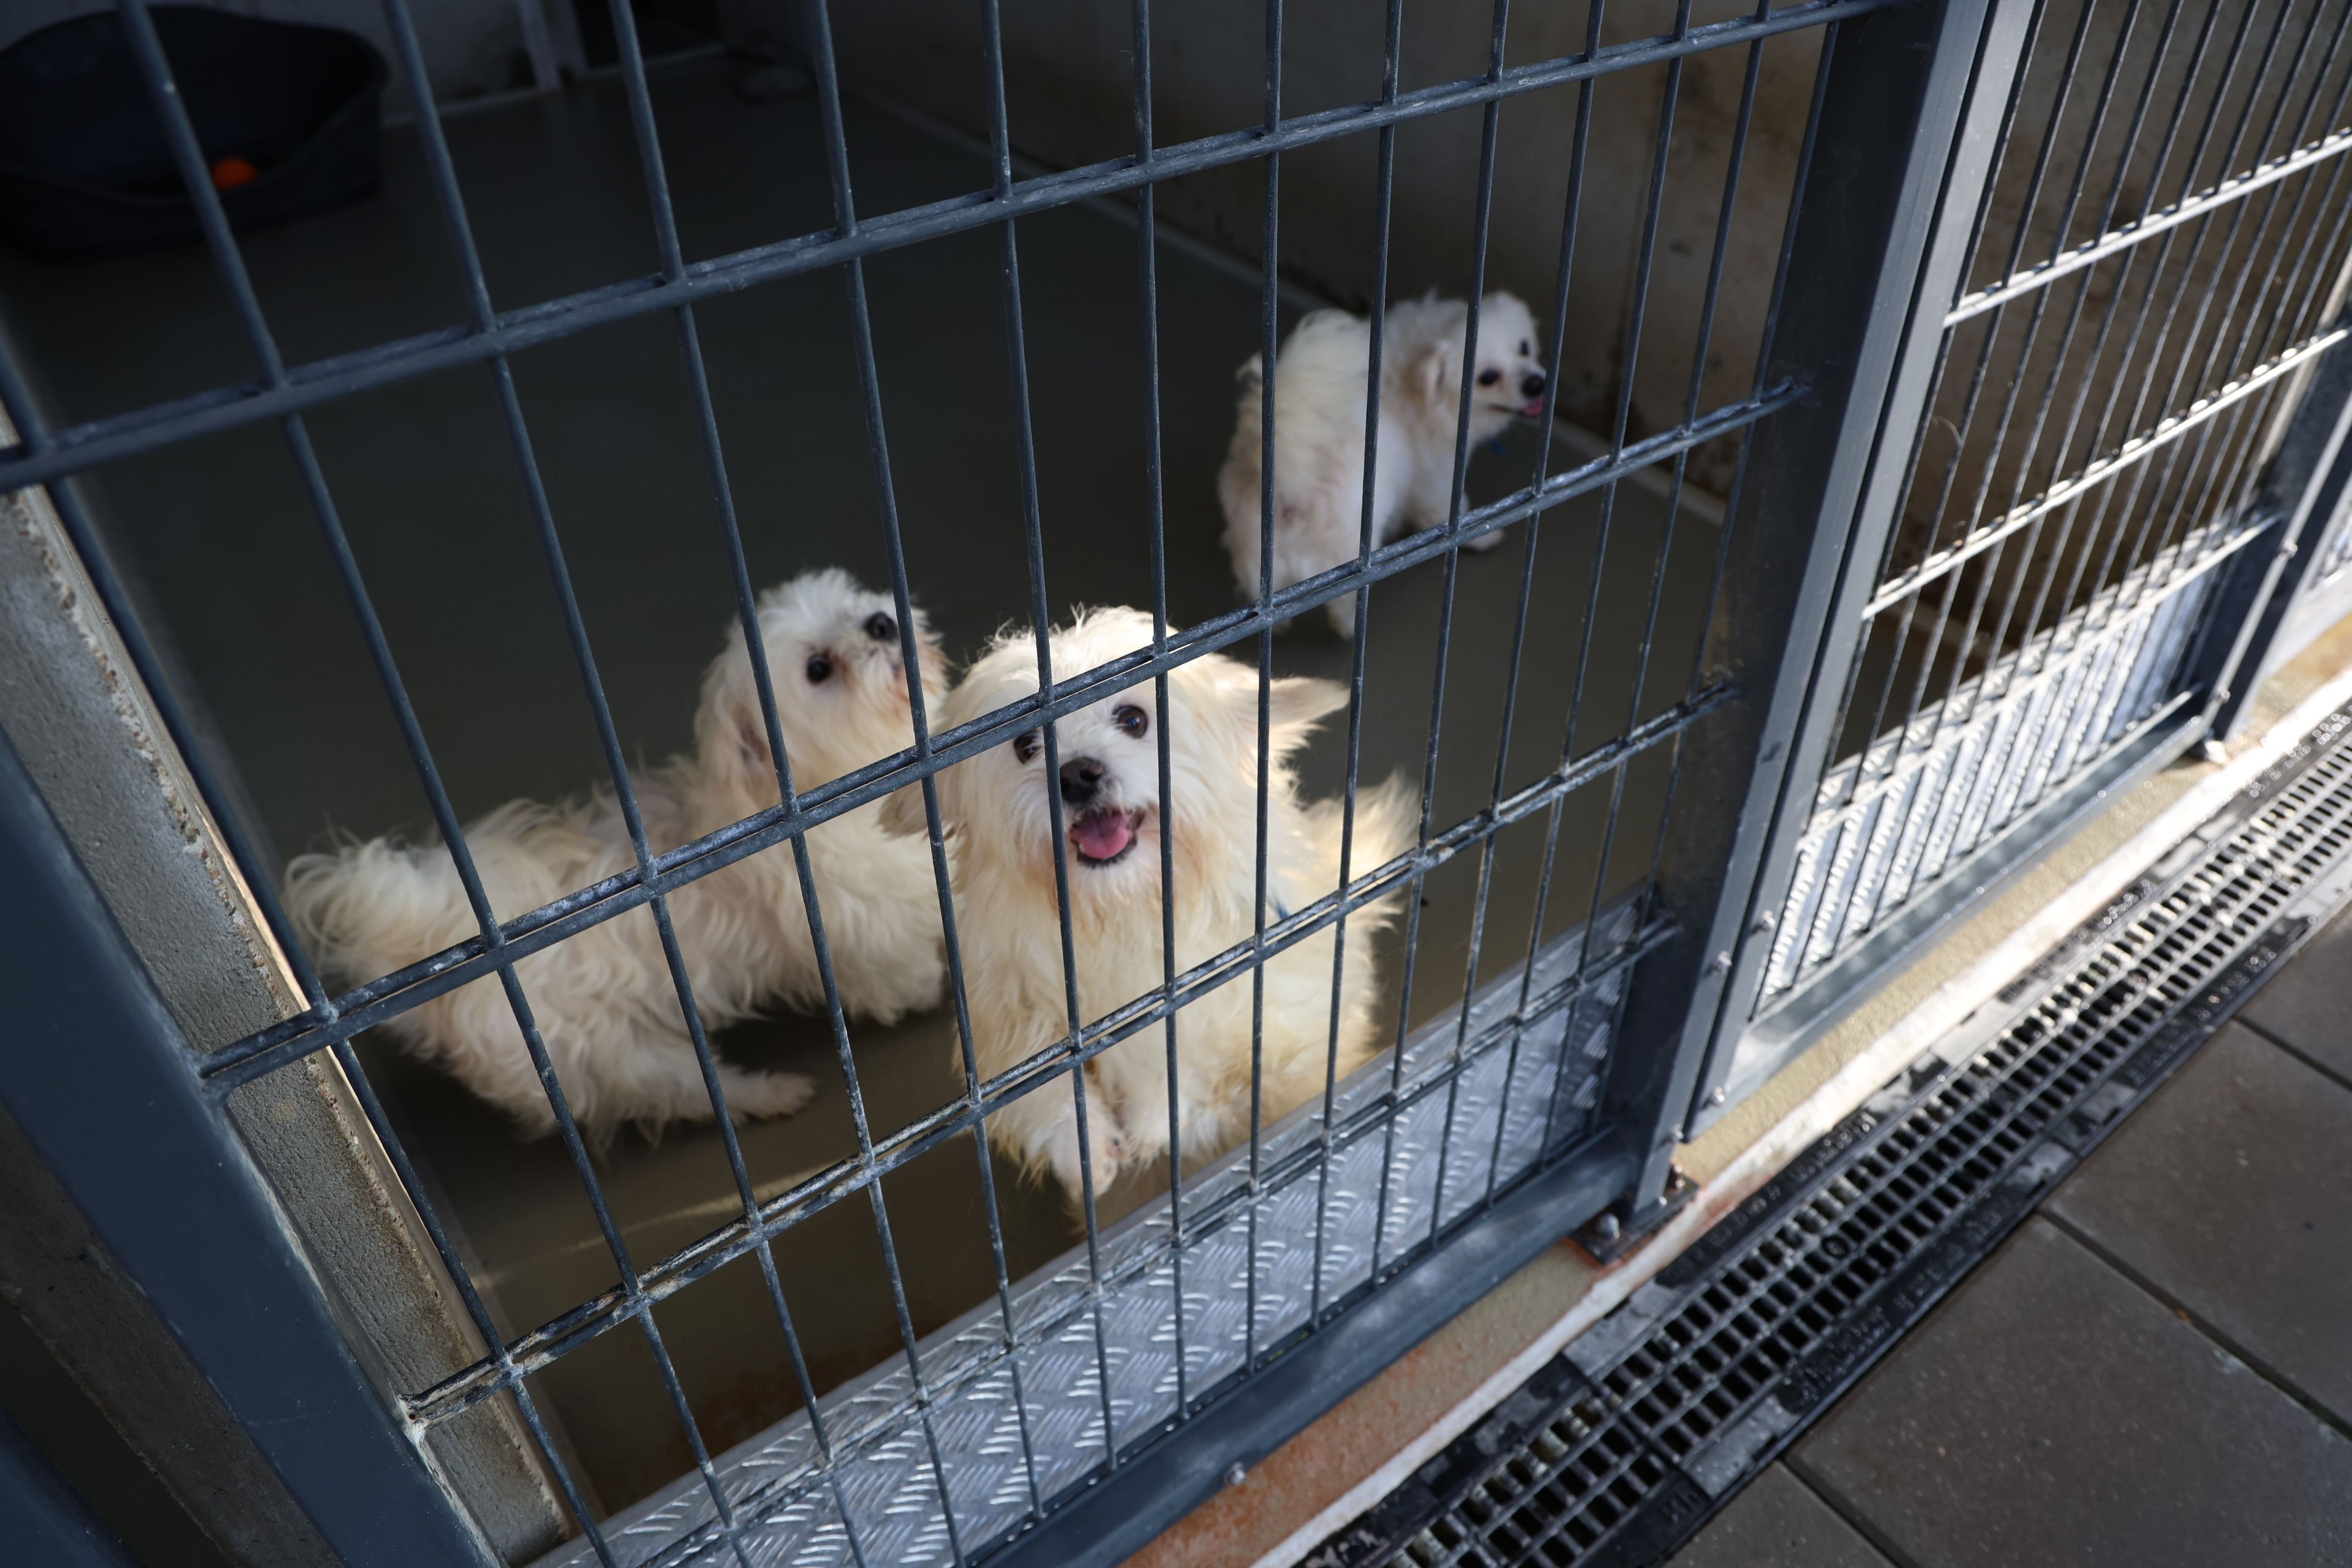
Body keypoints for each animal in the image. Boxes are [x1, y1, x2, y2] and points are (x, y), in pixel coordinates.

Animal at [287, 569, 951, 1142]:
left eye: (850, 597)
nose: (879, 622)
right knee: (690, 1092)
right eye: (819, 669)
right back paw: (769, 1093)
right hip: (617, 1053)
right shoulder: (867, 937)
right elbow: (906, 978)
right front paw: (940, 986)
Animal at [891, 606, 1416, 1204]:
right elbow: (1035, 1084)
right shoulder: (1009, 1002)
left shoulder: (1261, 1014)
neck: (1124, 910)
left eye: (1134, 720)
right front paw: (1083, 1149)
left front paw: (1152, 1115)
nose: (1076, 775)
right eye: (1024, 745)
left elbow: (1182, 1053)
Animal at [1219, 290, 1550, 637]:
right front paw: (1483, 535)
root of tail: (1291, 480)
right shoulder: (1433, 480)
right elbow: (1454, 513)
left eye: (1524, 347)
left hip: (1257, 556)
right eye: (1487, 378)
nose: (1535, 384)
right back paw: (1351, 627)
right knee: (1341, 601)